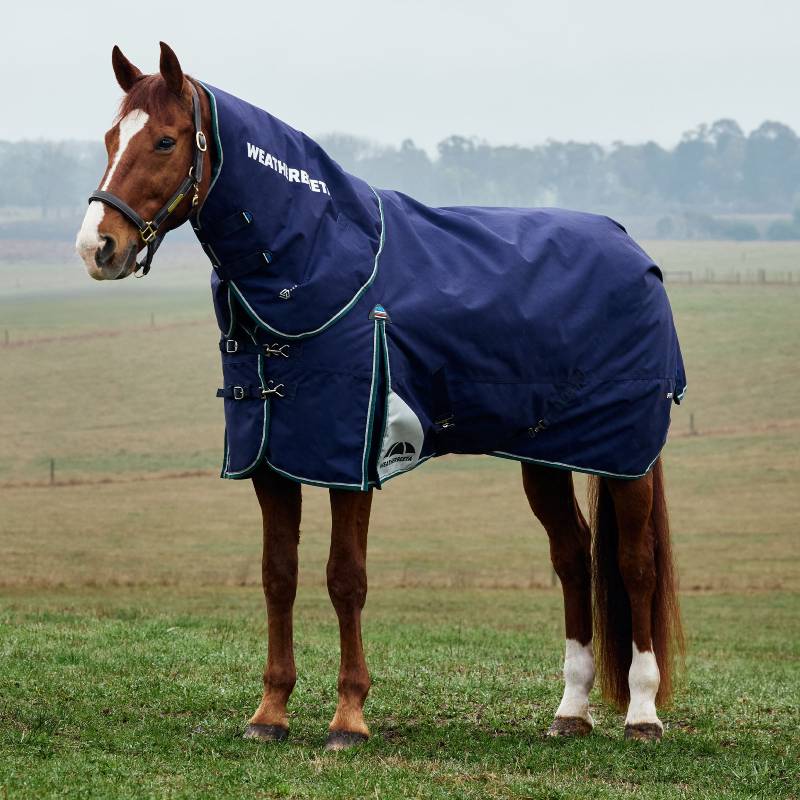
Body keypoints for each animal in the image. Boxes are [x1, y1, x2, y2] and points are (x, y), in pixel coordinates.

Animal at [76, 42, 685, 749]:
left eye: (166, 140)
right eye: (111, 138)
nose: (97, 247)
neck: (323, 264)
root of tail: (634, 250)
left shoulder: (350, 460)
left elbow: (346, 579)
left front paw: (348, 718)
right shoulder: (272, 460)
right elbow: (278, 576)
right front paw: (270, 713)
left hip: (625, 458)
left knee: (635, 562)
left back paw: (642, 713)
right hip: (546, 457)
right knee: (573, 557)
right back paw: (572, 710)